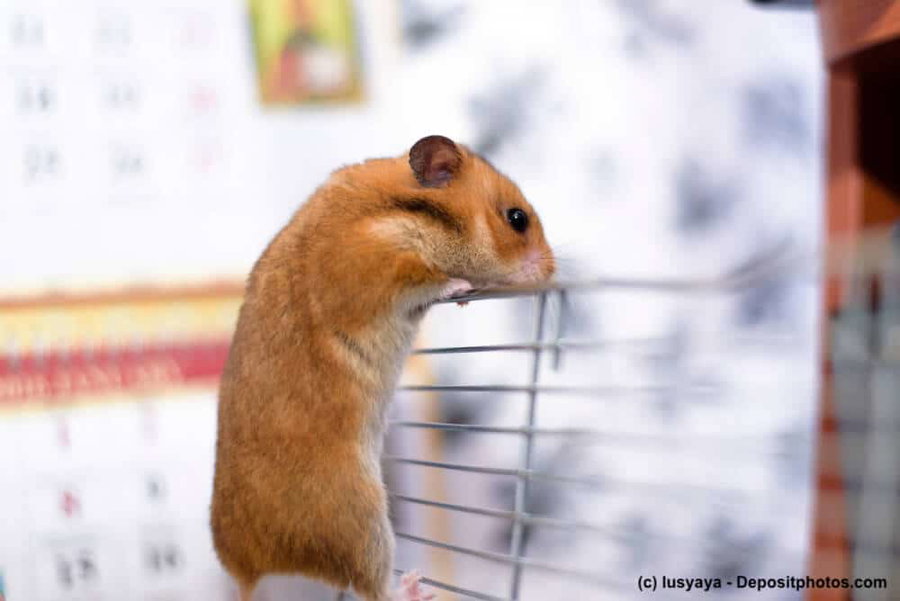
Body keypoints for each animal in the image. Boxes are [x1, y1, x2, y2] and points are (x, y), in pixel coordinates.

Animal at [210, 135, 555, 601]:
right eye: (517, 219)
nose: (553, 273)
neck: (402, 209)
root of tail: (247, 573)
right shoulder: (383, 261)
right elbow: (434, 280)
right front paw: (461, 285)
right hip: (363, 524)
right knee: (374, 589)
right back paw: (417, 587)